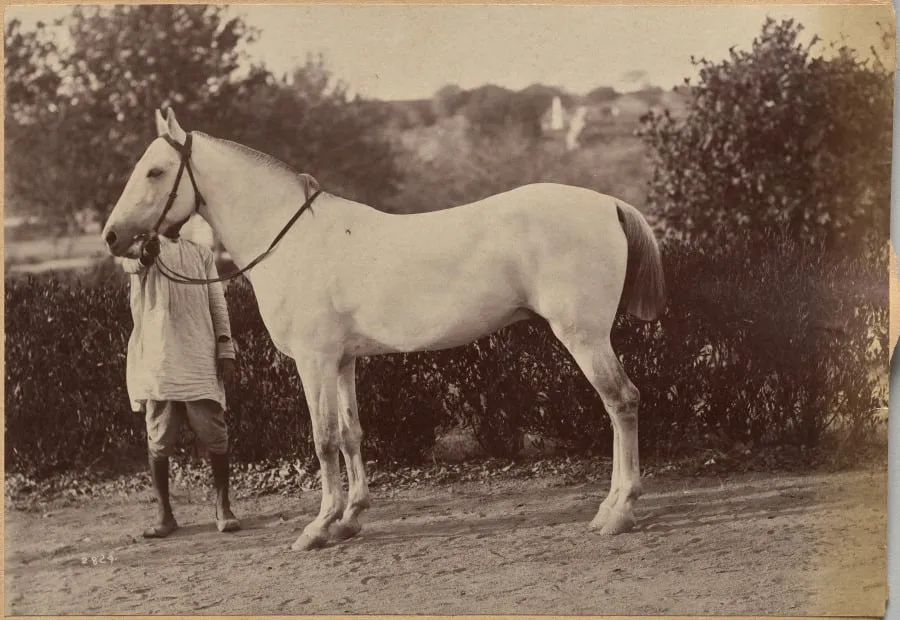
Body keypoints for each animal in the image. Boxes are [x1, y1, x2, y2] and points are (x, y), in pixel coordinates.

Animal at [102, 107, 666, 551]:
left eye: (155, 171)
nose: (112, 237)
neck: (292, 240)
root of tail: (609, 204)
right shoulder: (343, 361)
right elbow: (353, 434)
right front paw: (349, 519)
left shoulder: (314, 362)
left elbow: (324, 438)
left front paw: (318, 527)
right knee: (618, 405)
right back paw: (611, 506)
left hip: (584, 337)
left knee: (622, 402)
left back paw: (618, 511)